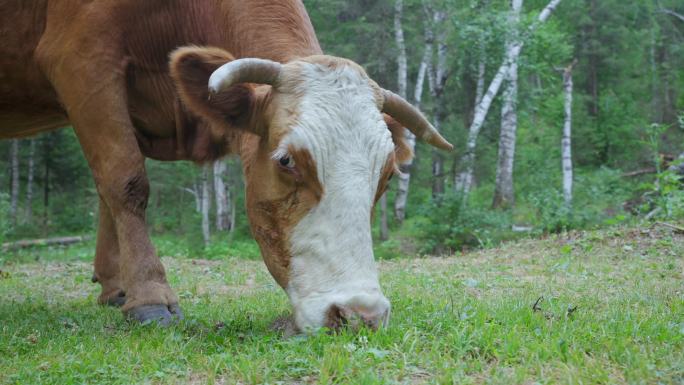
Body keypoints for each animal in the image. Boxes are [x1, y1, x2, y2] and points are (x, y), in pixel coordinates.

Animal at [1, 0, 454, 332]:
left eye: (388, 174)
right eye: (286, 160)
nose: (360, 314)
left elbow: (106, 185)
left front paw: (118, 288)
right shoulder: (80, 58)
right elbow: (124, 179)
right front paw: (148, 296)